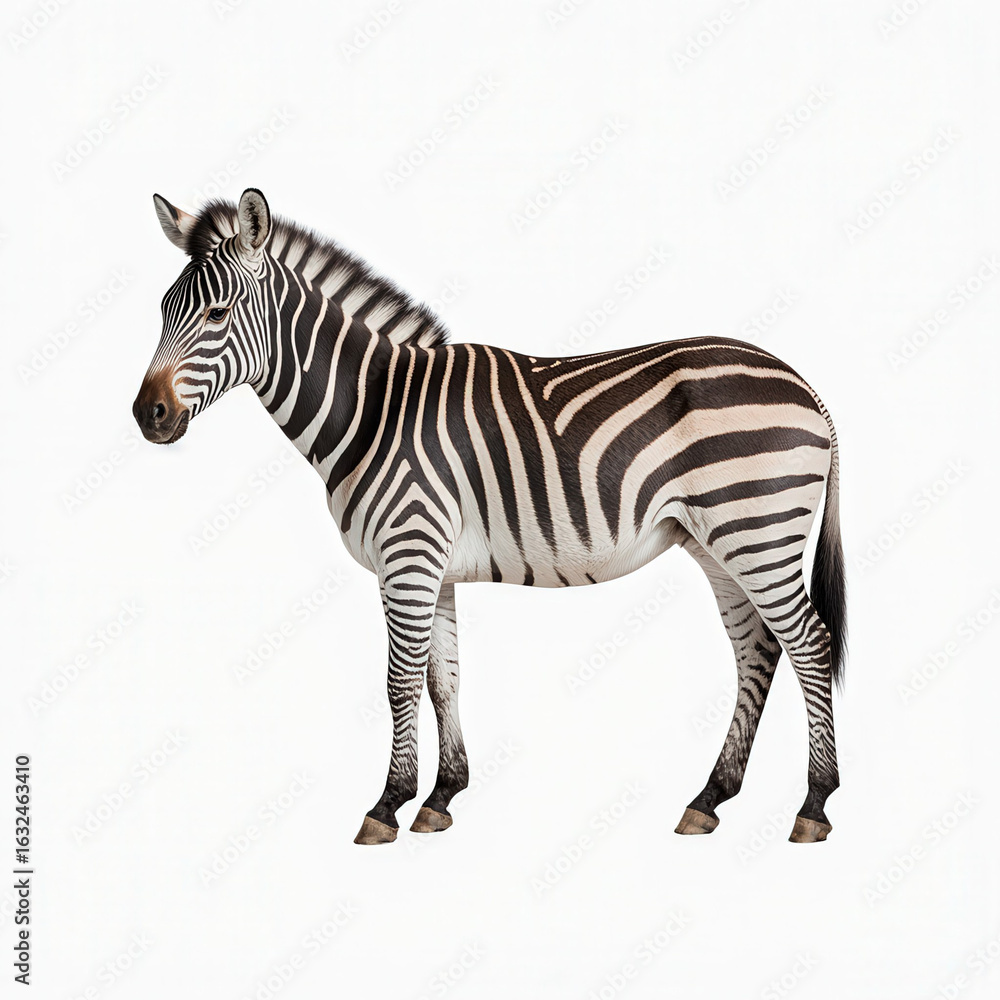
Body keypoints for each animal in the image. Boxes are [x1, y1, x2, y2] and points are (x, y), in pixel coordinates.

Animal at [134, 188, 846, 847]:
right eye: (165, 312)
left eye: (218, 314)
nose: (147, 415)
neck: (374, 407)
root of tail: (807, 386)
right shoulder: (432, 566)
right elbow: (442, 680)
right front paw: (440, 797)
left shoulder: (409, 553)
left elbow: (398, 682)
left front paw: (386, 806)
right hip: (717, 541)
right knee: (757, 649)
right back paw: (710, 797)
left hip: (757, 530)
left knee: (810, 643)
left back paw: (813, 804)